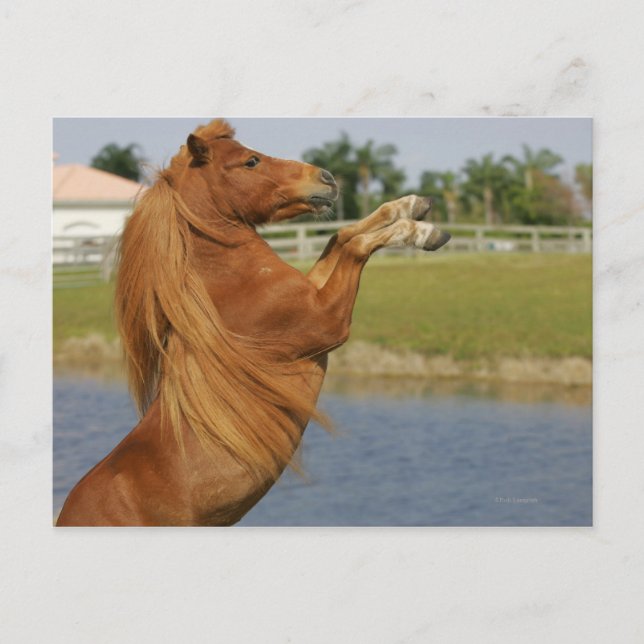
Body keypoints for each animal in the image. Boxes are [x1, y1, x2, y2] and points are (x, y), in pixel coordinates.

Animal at [56, 119, 450, 526]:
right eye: (251, 161)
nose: (326, 178)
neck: (235, 285)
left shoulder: (313, 291)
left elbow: (341, 235)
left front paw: (412, 205)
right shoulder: (328, 320)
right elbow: (355, 245)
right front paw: (423, 232)